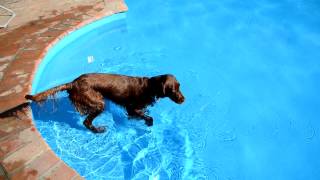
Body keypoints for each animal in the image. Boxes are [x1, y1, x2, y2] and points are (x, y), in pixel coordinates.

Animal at [25, 72, 185, 133]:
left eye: (179, 86)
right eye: (172, 89)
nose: (184, 99)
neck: (150, 87)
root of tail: (73, 83)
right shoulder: (131, 108)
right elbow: (148, 117)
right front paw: (147, 123)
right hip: (98, 102)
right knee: (86, 122)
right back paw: (98, 130)